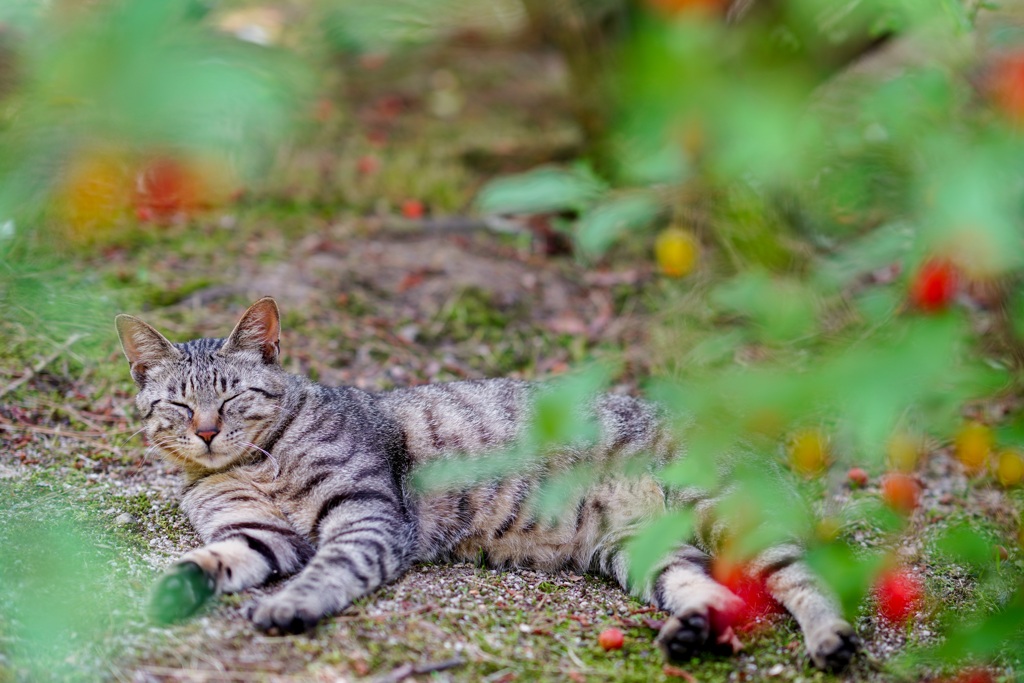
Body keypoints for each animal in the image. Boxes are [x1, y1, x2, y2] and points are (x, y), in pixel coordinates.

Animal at [116, 296, 860, 671]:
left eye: (233, 396)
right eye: (178, 404)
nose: (207, 432)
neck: (249, 465)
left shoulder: (365, 513)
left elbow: (327, 569)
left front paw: (290, 605)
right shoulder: (257, 533)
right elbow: (217, 556)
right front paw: (177, 584)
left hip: (725, 515)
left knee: (802, 578)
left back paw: (830, 640)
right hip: (646, 555)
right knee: (714, 592)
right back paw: (690, 632)